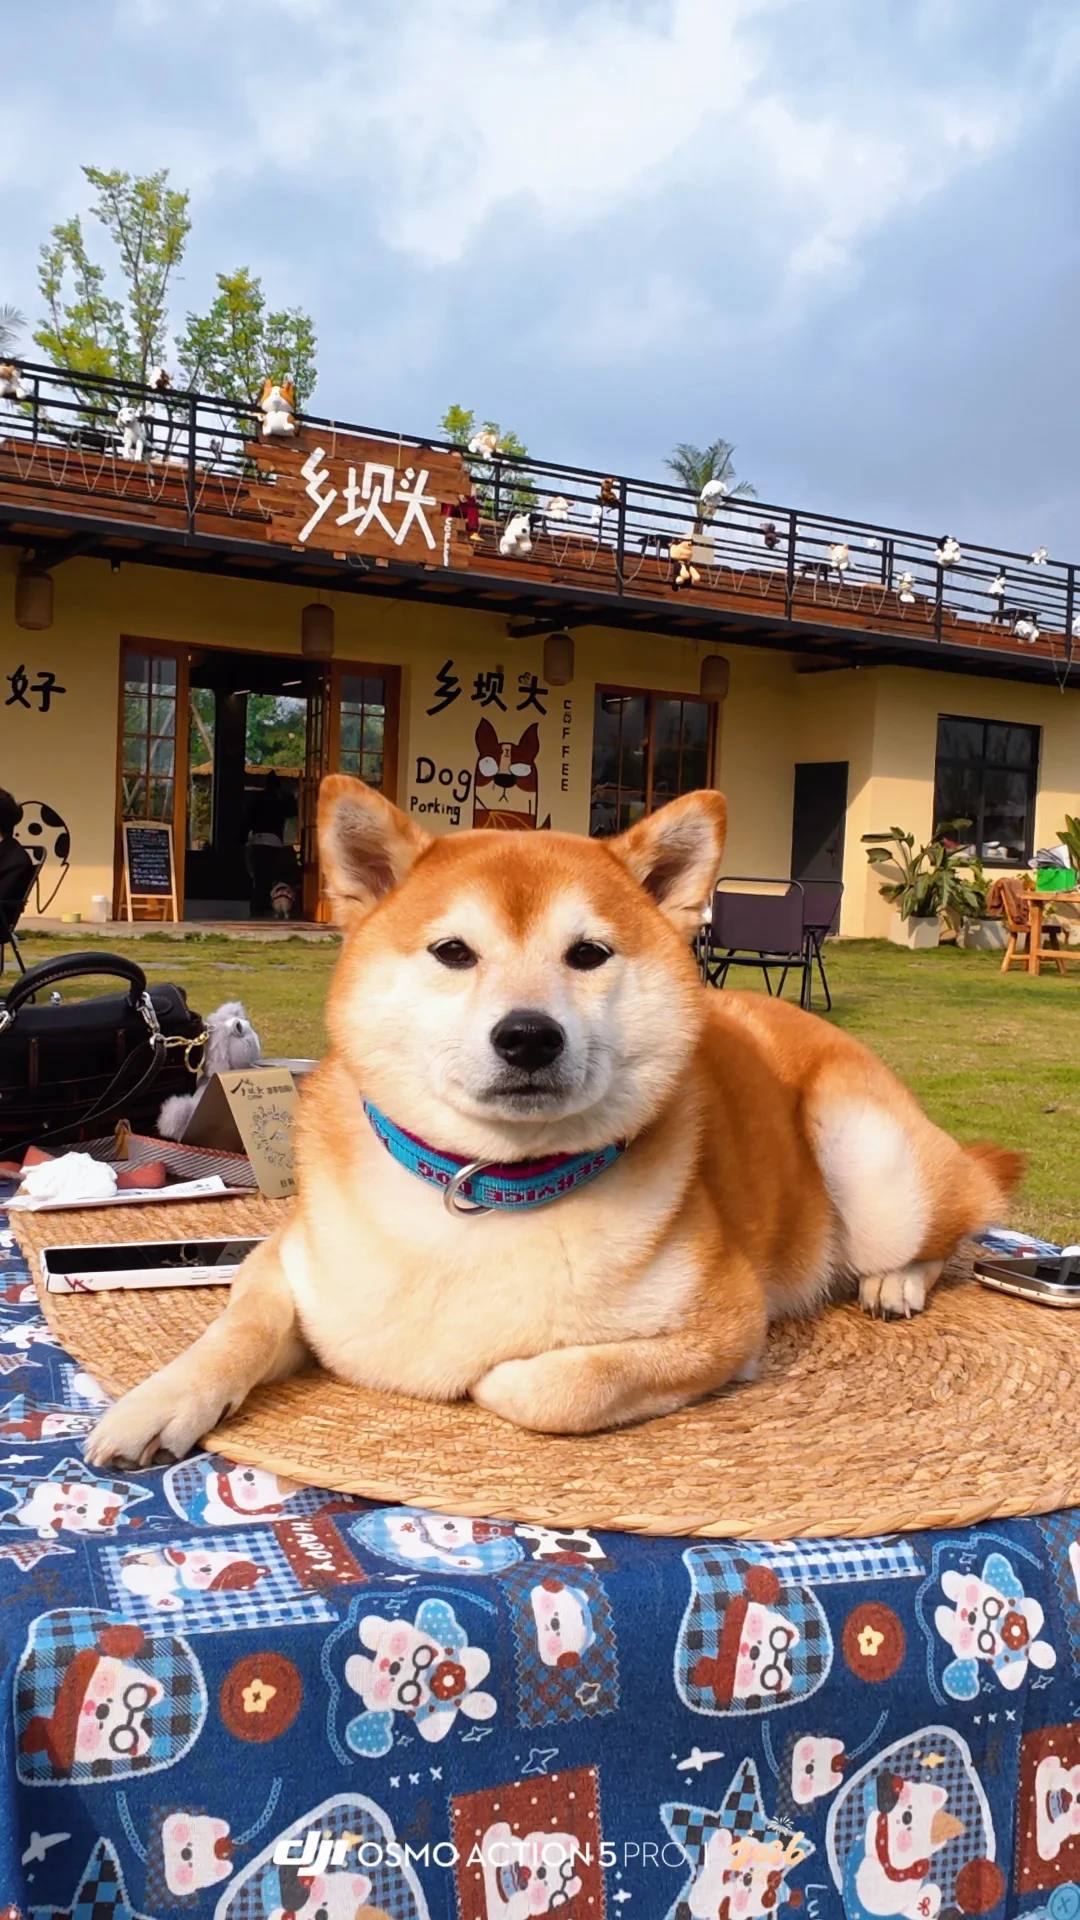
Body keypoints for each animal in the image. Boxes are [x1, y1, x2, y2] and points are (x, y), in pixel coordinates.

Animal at [86, 778, 1022, 1468]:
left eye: (589, 954)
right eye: (453, 952)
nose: (529, 1035)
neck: (487, 1186)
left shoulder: (727, 1321)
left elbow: (542, 1386)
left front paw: (490, 1375)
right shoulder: (286, 1262)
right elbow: (233, 1329)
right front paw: (158, 1402)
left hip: (867, 1155)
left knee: (959, 1218)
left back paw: (897, 1282)